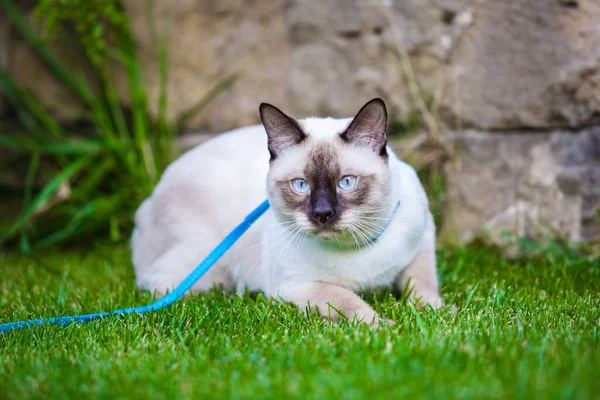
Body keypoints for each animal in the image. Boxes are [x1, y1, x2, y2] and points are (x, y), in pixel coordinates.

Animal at [131, 97, 440, 324]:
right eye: (301, 185)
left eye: (347, 182)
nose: (323, 213)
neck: (356, 248)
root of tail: (148, 202)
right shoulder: (299, 287)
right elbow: (351, 304)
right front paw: (385, 327)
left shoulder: (422, 244)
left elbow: (424, 288)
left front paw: (438, 317)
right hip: (207, 272)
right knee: (161, 285)